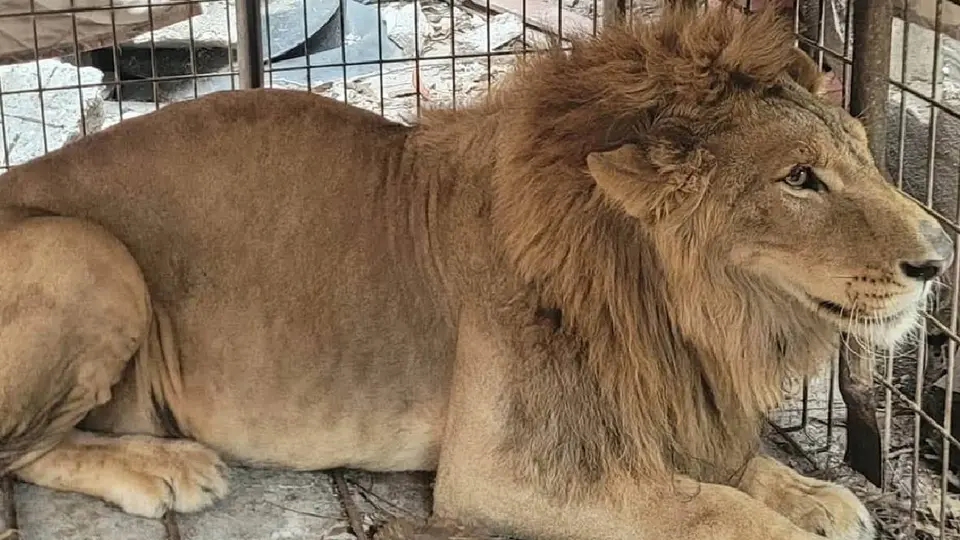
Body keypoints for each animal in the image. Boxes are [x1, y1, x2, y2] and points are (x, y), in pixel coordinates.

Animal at [0, 5, 950, 540]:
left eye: (862, 153)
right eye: (800, 179)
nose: (940, 259)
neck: (680, 313)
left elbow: (730, 474)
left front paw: (813, 494)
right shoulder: (502, 472)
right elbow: (708, 509)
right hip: (87, 253)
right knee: (18, 449)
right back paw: (160, 469)